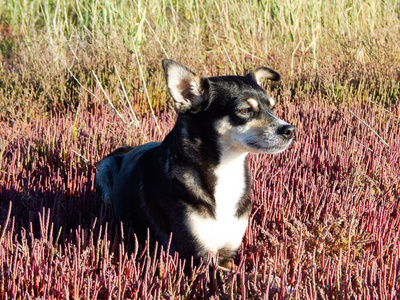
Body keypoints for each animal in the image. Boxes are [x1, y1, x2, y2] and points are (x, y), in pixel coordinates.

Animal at [94, 59, 294, 270]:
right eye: (245, 110)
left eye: (272, 107)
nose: (290, 130)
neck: (226, 169)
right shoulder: (197, 256)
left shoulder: (228, 253)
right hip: (104, 169)